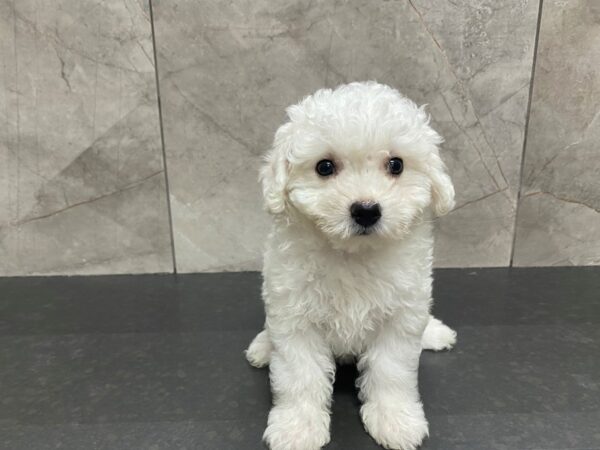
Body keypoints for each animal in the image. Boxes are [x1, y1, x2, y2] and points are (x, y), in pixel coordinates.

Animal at [246, 81, 458, 450]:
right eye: (324, 167)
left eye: (396, 165)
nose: (366, 210)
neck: (352, 254)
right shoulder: (294, 316)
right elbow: (299, 375)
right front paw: (297, 427)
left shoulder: (399, 317)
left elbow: (391, 371)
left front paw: (394, 419)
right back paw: (262, 346)